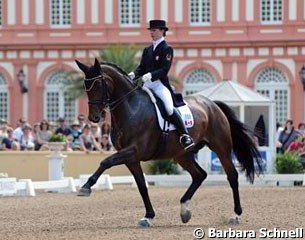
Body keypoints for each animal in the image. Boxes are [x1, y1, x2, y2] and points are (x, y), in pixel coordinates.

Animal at [74, 58, 262, 227]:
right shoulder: (131, 158)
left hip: (221, 148)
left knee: (232, 176)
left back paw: (236, 215)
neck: (131, 108)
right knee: (199, 175)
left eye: (98, 85)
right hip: (182, 154)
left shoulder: (134, 150)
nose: (94, 118)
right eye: (85, 86)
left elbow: (106, 161)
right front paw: (148, 217)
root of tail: (212, 104)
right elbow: (142, 186)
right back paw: (184, 210)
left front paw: (86, 187)